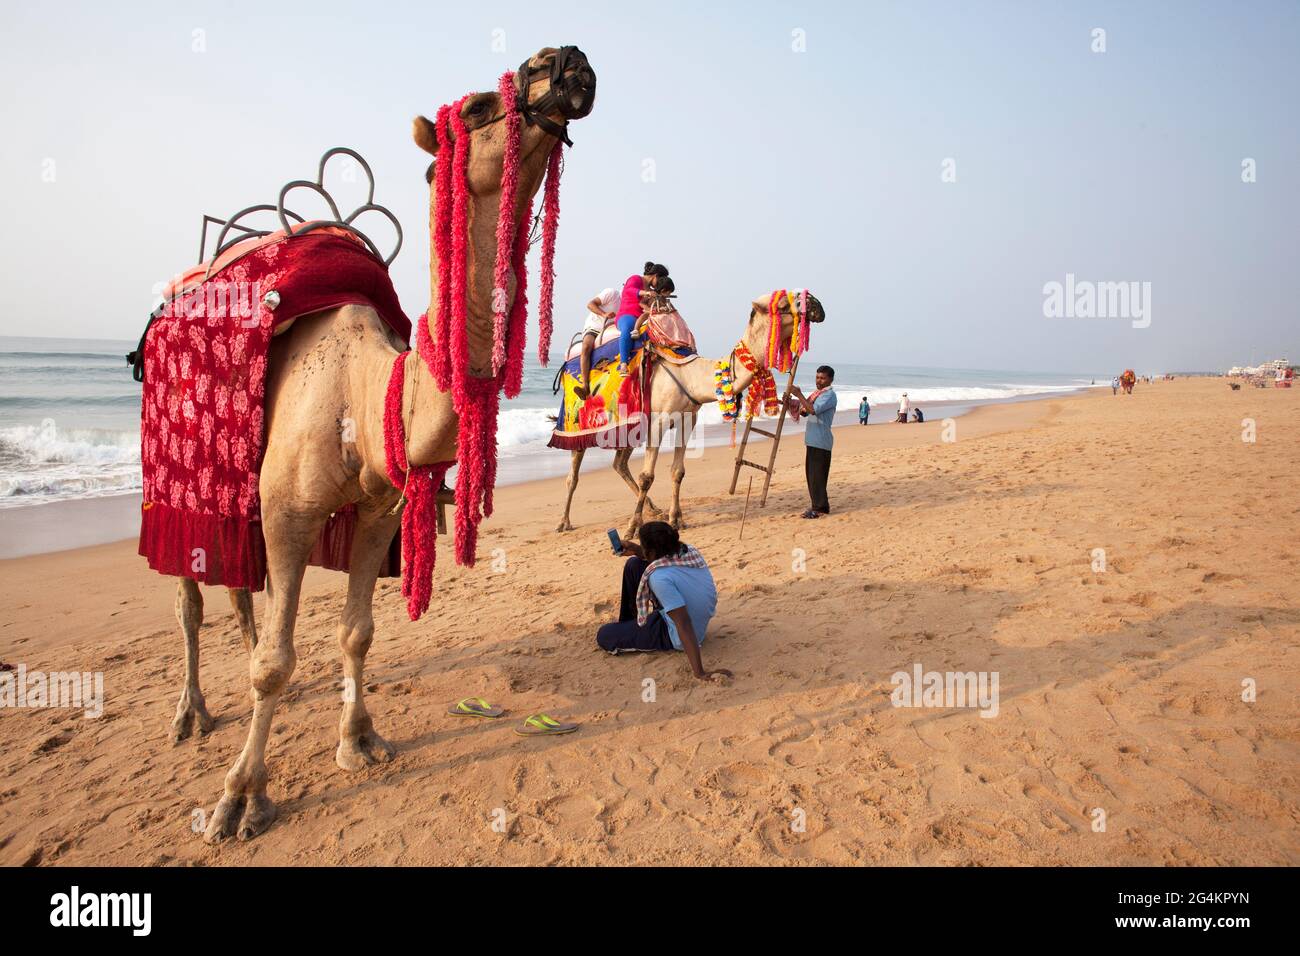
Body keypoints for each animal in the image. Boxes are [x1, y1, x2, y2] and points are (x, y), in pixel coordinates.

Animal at [142, 46, 595, 842]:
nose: (563, 61)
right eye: (477, 106)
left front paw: (357, 739)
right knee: (190, 596)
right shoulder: (290, 512)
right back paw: (190, 713)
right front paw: (240, 797)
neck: (365, 394)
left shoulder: (379, 510)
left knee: (242, 591)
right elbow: (275, 663)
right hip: (177, 481)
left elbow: (357, 632)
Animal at [551, 290, 821, 538]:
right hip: (579, 423)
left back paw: (654, 510)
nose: (817, 305)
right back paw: (563, 522)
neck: (689, 375)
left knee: (619, 464)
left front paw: (675, 519)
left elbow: (677, 471)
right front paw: (631, 528)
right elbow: (647, 475)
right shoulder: (658, 421)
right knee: (574, 473)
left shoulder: (688, 419)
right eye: (784, 303)